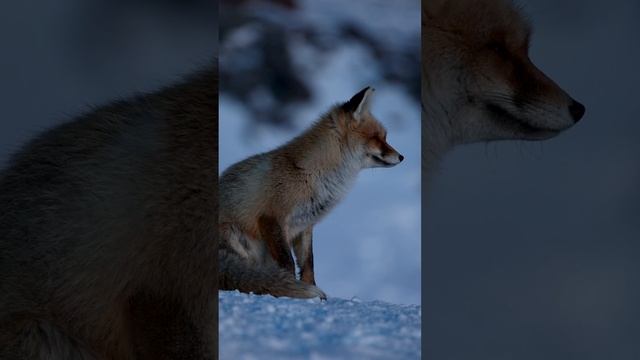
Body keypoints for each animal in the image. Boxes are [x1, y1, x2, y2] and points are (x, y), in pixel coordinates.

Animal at [218, 86, 402, 298]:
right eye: (378, 138)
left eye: (384, 137)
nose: (402, 157)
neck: (311, 173)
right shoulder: (271, 218)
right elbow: (288, 264)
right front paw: (290, 290)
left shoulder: (304, 225)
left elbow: (308, 264)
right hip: (235, 236)